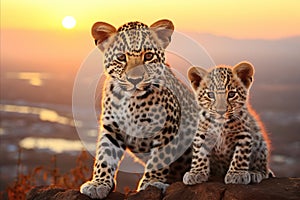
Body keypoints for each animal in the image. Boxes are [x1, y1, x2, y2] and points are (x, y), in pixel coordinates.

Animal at [79, 19, 198, 198]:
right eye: (121, 57)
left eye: (148, 56)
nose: (134, 80)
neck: (130, 101)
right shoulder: (112, 129)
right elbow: (104, 156)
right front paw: (98, 183)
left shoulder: (167, 127)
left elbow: (159, 158)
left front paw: (152, 183)